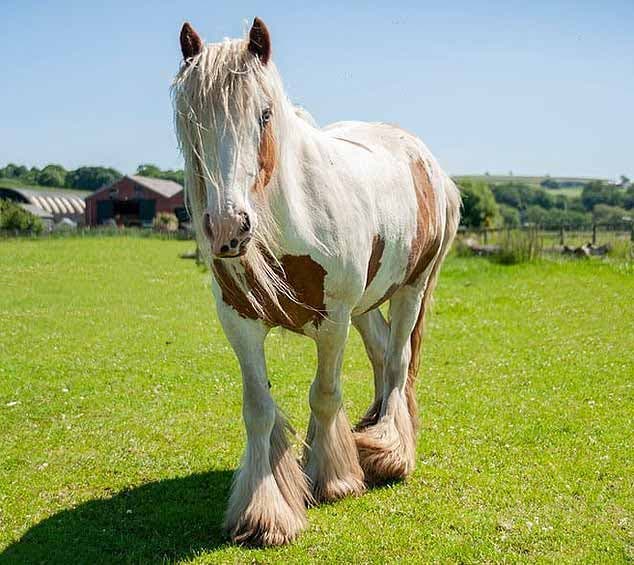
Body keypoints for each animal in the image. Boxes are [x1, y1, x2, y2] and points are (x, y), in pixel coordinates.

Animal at [173, 18, 460, 548]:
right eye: (191, 121)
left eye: (264, 115)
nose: (228, 228)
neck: (291, 217)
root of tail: (423, 158)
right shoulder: (238, 322)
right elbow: (258, 409)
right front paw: (265, 510)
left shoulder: (333, 322)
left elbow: (324, 394)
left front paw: (332, 478)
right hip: (367, 303)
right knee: (382, 353)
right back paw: (371, 433)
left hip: (409, 290)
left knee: (398, 361)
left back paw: (388, 451)